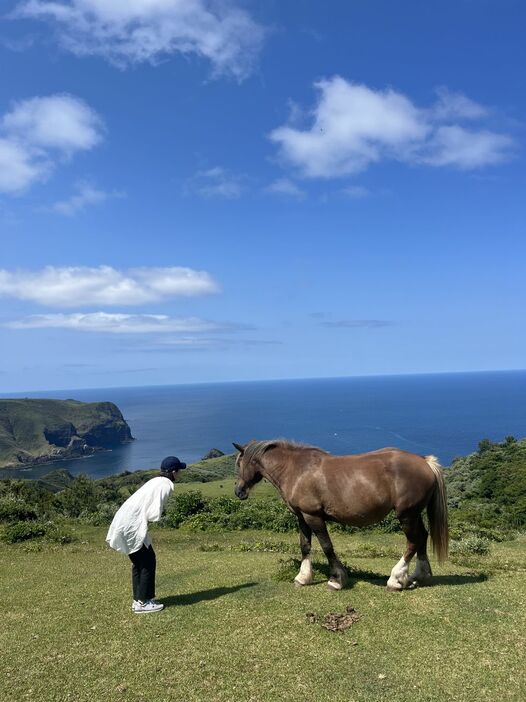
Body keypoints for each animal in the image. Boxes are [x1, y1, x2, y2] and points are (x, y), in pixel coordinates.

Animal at [234, 442, 450, 592]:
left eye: (239, 464)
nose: (238, 491)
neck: (296, 470)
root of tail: (424, 461)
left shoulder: (313, 516)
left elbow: (327, 546)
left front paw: (336, 579)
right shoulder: (302, 517)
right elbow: (305, 546)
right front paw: (303, 577)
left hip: (406, 515)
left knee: (413, 541)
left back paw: (396, 579)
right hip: (414, 514)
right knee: (422, 537)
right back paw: (418, 576)